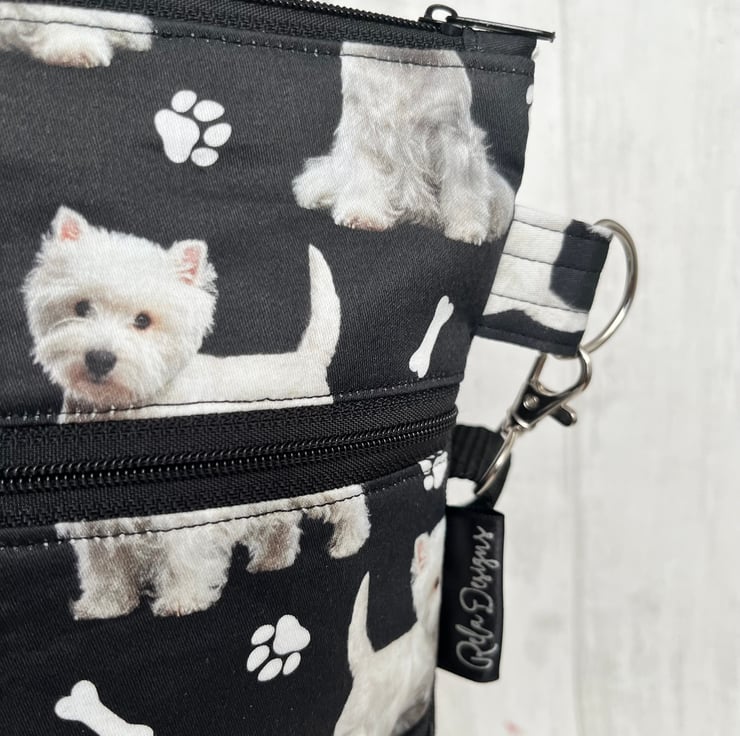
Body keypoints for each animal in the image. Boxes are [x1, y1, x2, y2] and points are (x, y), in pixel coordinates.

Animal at [56, 484, 371, 619]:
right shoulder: (99, 538)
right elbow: (105, 576)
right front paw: (103, 607)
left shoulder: (182, 525)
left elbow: (181, 565)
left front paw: (181, 601)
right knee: (281, 527)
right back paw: (272, 561)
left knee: (350, 501)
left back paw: (349, 543)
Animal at [293, 42, 514, 246]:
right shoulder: (362, 127)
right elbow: (363, 174)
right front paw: (362, 215)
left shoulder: (453, 136)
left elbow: (463, 186)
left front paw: (467, 228)